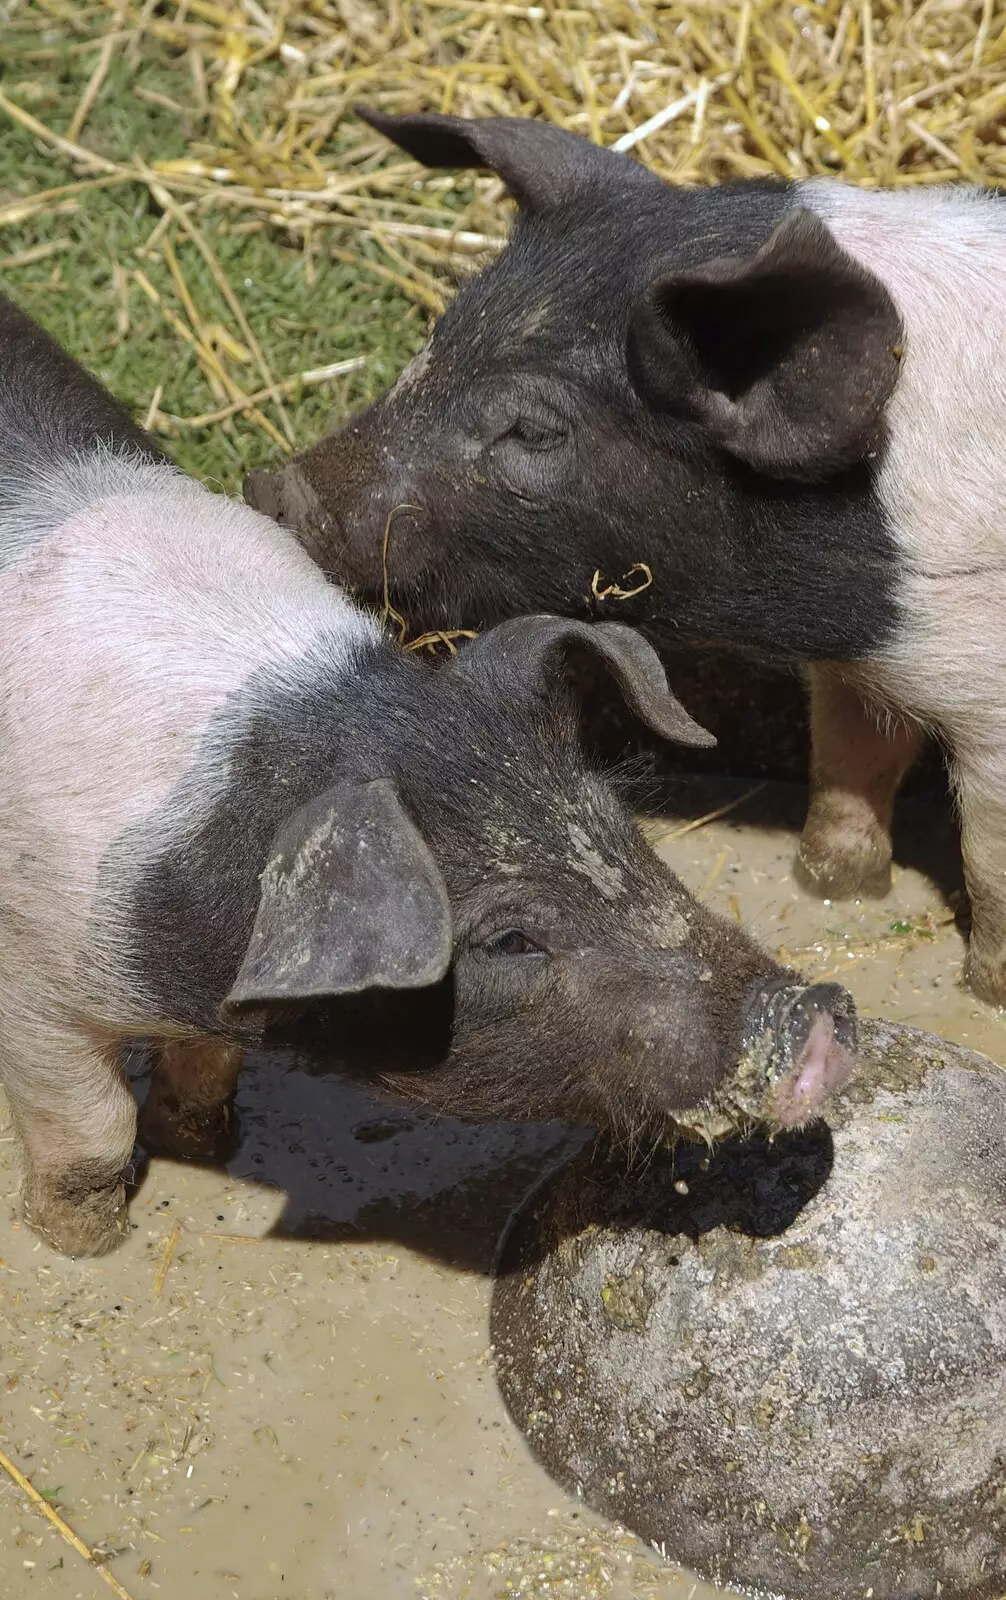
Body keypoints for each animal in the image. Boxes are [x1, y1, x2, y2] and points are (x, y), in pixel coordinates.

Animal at [0, 294, 857, 1254]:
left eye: (626, 836)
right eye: (508, 939)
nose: (816, 1011)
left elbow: (209, 1065)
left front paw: (205, 1138)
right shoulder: (32, 985)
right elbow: (90, 1131)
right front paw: (84, 1242)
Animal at [243, 112, 1004, 1004]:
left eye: (534, 430)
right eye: (435, 340)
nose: (273, 487)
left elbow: (987, 864)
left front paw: (981, 998)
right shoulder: (864, 665)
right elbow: (848, 768)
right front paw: (829, 887)